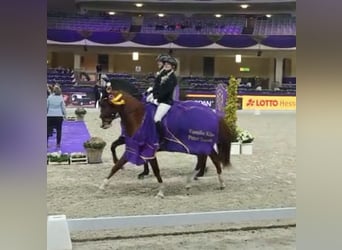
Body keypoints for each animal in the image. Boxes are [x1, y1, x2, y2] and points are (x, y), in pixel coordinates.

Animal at [98, 90, 232, 197]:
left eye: (105, 104)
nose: (103, 124)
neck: (138, 118)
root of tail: (213, 114)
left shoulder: (148, 148)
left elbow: (156, 170)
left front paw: (160, 191)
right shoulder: (134, 147)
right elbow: (116, 166)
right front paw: (102, 186)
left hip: (199, 144)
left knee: (207, 159)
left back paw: (196, 181)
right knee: (212, 159)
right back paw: (214, 182)